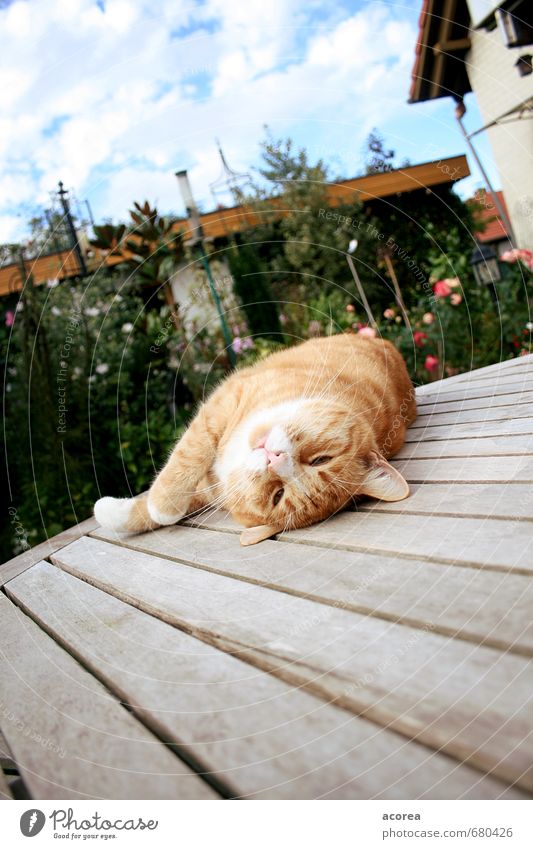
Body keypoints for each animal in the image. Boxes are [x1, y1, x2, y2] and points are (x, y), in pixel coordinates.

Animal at [94, 332, 416, 544]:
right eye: (320, 460)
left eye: (277, 495)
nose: (274, 458)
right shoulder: (225, 400)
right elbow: (191, 452)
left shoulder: (212, 490)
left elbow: (165, 502)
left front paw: (155, 507)